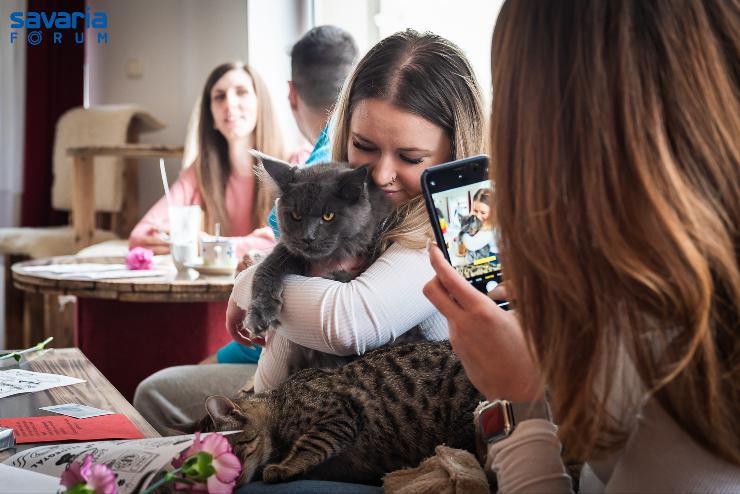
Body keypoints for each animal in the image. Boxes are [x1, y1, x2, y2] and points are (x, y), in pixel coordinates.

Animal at [199, 342, 482, 484]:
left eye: (229, 453)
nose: (229, 483)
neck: (279, 405)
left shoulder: (339, 412)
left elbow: (311, 443)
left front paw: (285, 467)